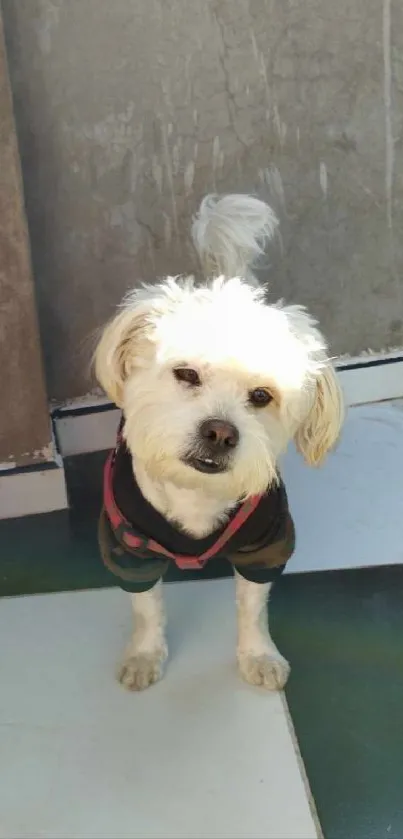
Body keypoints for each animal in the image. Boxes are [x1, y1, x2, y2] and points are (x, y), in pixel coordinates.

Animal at [95, 194, 344, 692]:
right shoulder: (128, 550)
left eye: (262, 396)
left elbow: (253, 609)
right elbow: (146, 610)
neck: (196, 495)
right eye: (186, 373)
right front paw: (144, 655)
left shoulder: (266, 545)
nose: (221, 432)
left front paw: (258, 655)